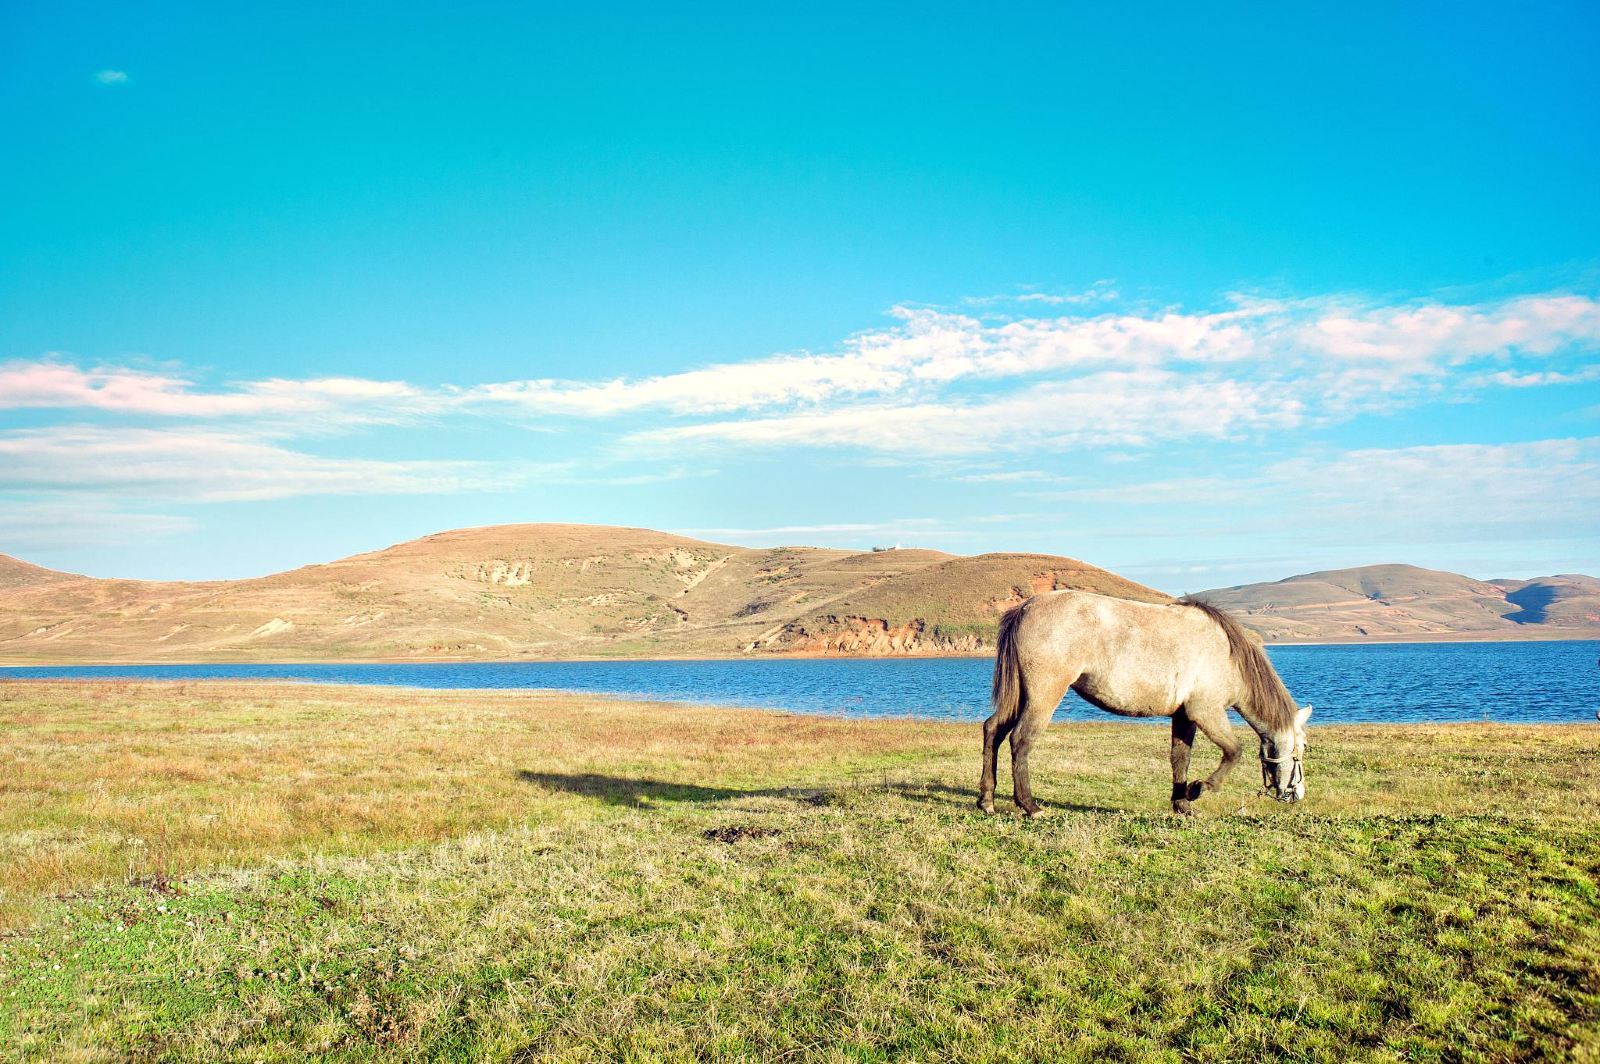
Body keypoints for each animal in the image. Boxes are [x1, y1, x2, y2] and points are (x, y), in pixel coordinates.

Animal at [972, 588, 1312, 812]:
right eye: (1301, 749)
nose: (1296, 794)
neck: (1227, 655)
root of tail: (1026, 608)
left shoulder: (1184, 716)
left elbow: (1180, 758)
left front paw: (1182, 804)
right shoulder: (1206, 712)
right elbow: (1234, 751)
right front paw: (1199, 789)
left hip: (1020, 696)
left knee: (994, 730)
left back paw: (987, 800)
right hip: (1044, 695)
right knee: (1021, 740)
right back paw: (1029, 806)